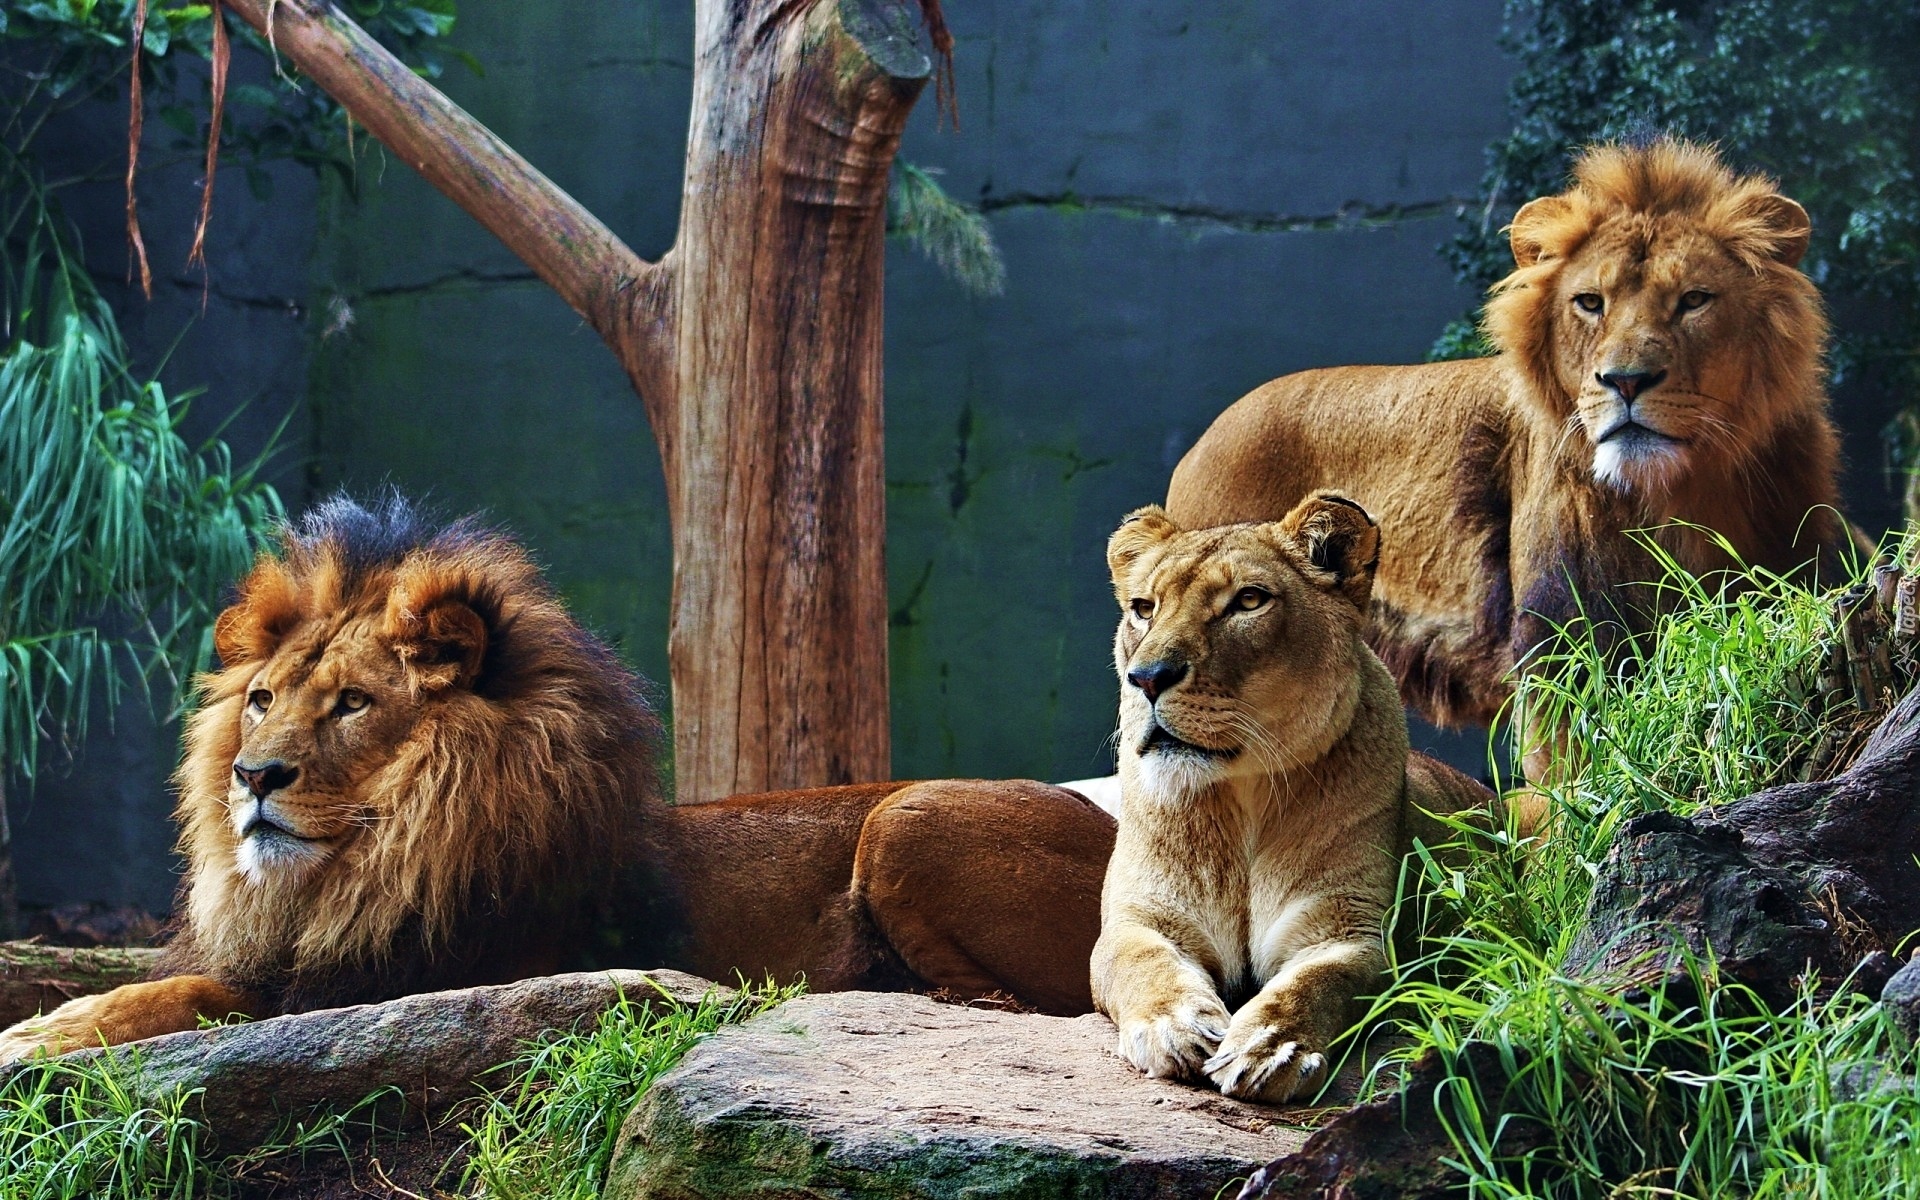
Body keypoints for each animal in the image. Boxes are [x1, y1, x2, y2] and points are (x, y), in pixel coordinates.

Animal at [0, 495, 1114, 1061]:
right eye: (263, 697)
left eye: (354, 703)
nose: (251, 775)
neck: (360, 866)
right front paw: (45, 1022)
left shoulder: (423, 973)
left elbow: (191, 995)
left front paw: (38, 1037)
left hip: (908, 815)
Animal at [1093, 493, 1497, 1104]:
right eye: (1143, 607)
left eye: (1248, 600)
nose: (1147, 678)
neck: (1240, 797)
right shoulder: (1140, 918)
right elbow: (1142, 962)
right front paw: (1173, 1026)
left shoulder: (1348, 931)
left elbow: (1315, 983)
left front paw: (1268, 1048)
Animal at [1165, 138, 1857, 775]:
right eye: (1590, 302)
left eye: (1694, 300)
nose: (1626, 381)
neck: (1679, 496)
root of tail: (1198, 446)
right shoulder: (1563, 646)